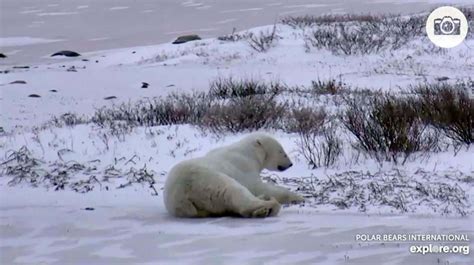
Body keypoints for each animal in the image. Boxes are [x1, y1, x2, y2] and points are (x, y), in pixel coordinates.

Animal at [163, 132, 304, 217]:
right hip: (208, 181)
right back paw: (269, 205)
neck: (248, 153)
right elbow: (257, 186)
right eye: (281, 151)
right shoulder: (244, 166)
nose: (290, 164)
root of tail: (180, 196)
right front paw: (298, 197)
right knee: (236, 193)